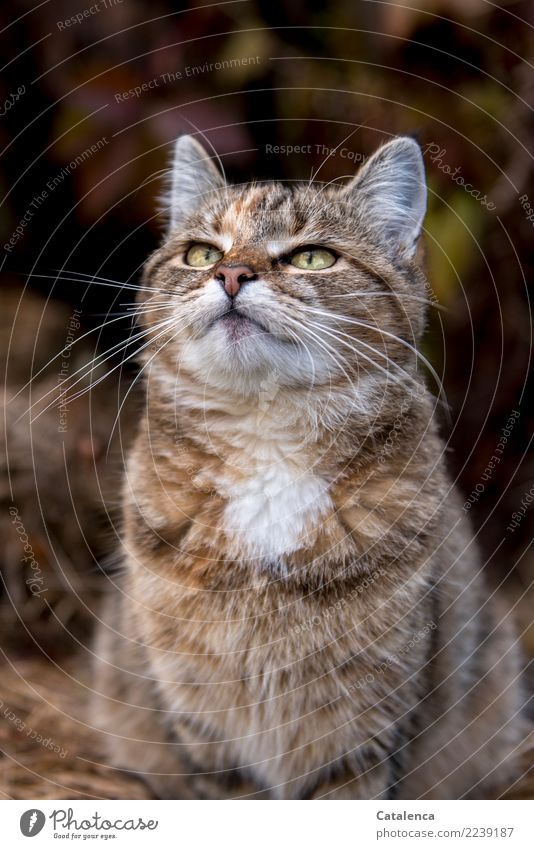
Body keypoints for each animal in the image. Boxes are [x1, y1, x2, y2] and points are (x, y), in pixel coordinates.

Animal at [93, 132, 528, 796]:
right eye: (201, 253)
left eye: (313, 259)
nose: (231, 273)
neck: (267, 450)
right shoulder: (206, 724)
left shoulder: (362, 725)